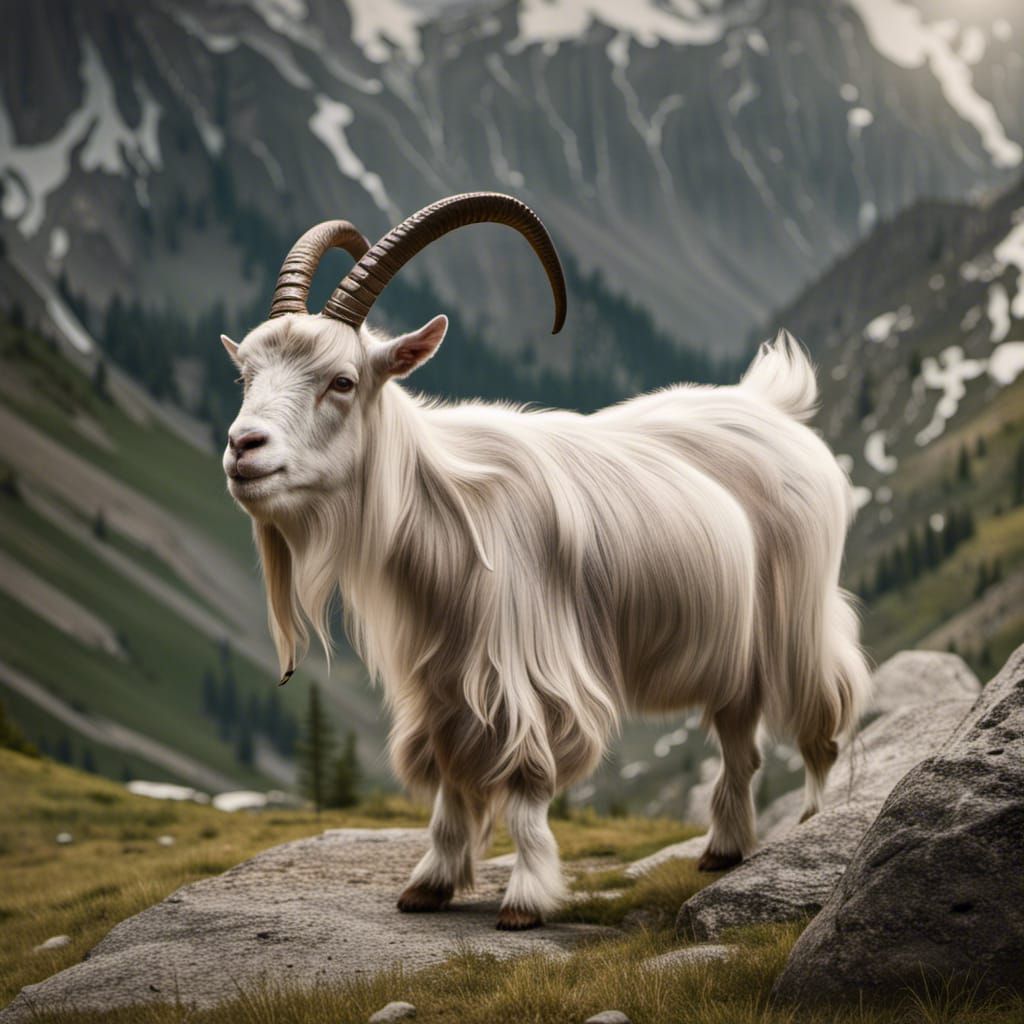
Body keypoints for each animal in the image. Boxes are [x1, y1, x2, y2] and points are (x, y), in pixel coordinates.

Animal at [221, 193, 872, 930]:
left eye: (342, 380)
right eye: (246, 376)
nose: (243, 446)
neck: (448, 512)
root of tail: (774, 404)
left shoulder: (529, 669)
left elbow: (529, 781)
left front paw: (525, 898)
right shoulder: (444, 681)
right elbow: (449, 776)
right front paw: (431, 883)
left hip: (797, 616)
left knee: (820, 719)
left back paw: (809, 827)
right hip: (736, 644)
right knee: (741, 737)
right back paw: (723, 850)